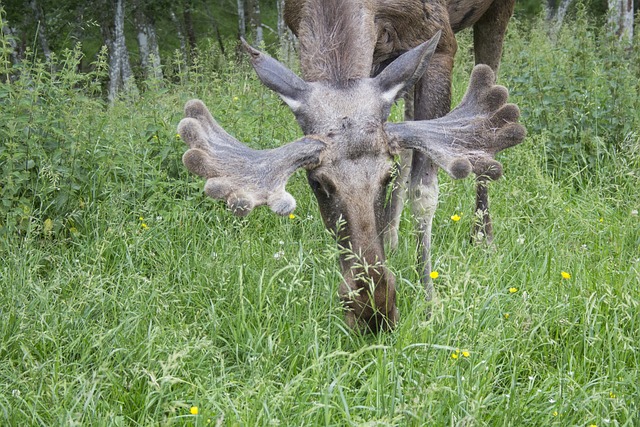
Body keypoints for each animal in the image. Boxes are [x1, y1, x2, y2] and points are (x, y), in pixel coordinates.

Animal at [176, 0, 524, 332]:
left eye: (386, 176)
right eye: (317, 183)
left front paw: (429, 303)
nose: (374, 311)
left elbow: (424, 192)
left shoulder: (439, 44)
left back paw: (483, 235)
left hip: (494, 16)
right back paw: (394, 238)